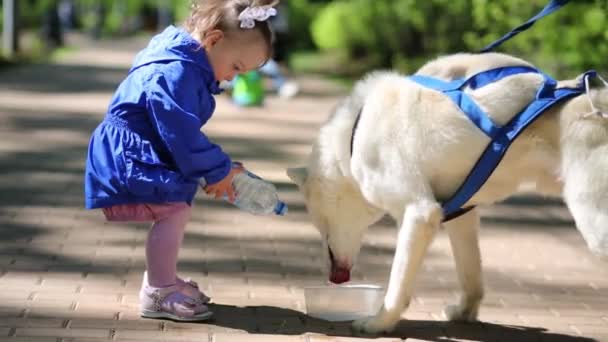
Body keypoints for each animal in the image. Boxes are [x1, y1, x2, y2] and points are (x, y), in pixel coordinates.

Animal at [288, 53, 608, 334]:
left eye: (319, 223)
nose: (333, 278)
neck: (352, 138)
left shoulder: (419, 213)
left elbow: (397, 283)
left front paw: (379, 323)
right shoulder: (460, 216)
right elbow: (470, 275)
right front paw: (465, 313)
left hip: (594, 222)